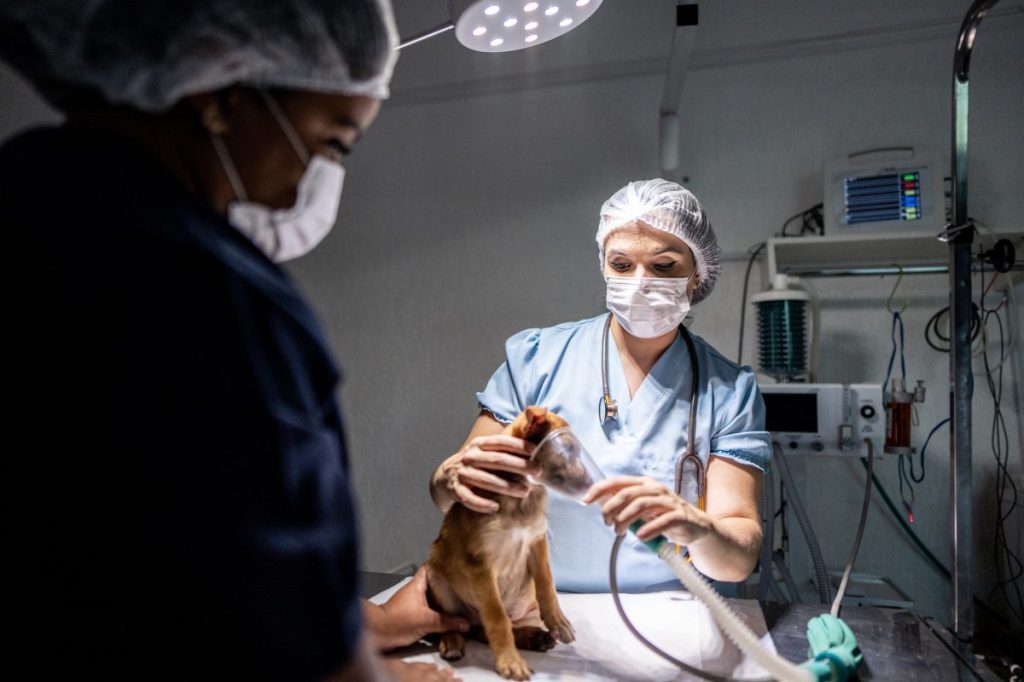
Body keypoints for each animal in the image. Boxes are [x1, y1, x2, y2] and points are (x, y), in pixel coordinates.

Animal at [423, 405, 577, 675]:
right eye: (564, 450)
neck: (522, 498)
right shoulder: (481, 564)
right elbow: (497, 617)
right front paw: (510, 662)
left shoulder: (537, 543)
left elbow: (547, 584)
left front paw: (558, 622)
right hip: (437, 582)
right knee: (454, 623)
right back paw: (452, 642)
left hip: (527, 604)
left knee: (487, 632)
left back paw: (534, 636)